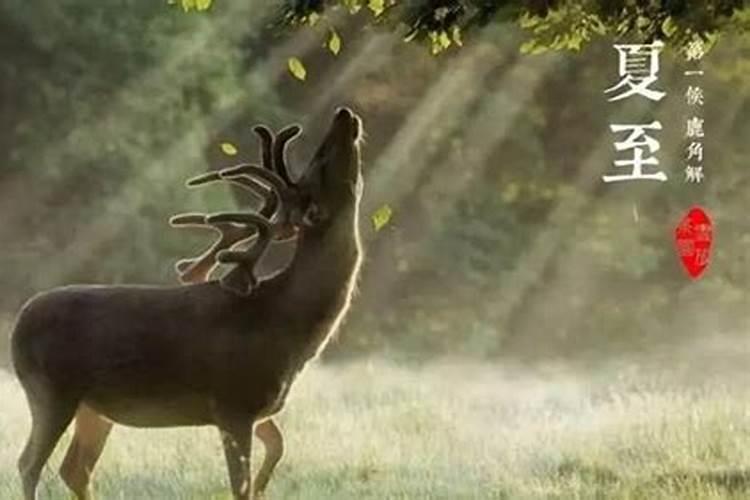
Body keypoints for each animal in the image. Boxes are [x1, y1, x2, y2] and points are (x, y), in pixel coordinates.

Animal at [9, 107, 368, 498]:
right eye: (321, 162)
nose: (344, 113)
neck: (287, 322)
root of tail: (18, 326)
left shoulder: (256, 408)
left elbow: (277, 448)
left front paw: (263, 486)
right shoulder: (233, 403)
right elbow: (240, 485)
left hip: (94, 407)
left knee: (75, 468)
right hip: (51, 391)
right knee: (29, 464)